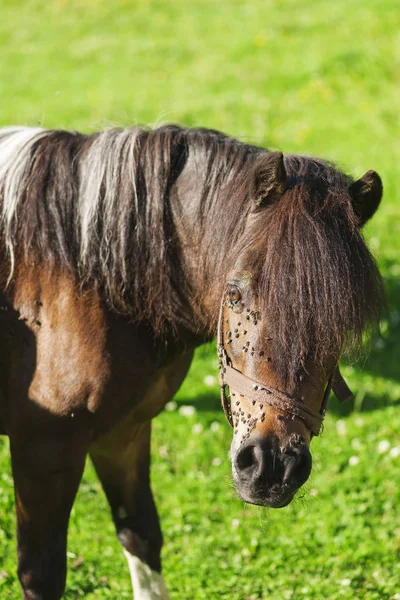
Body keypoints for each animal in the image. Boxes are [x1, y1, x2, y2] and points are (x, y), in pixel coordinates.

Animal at [0, 124, 382, 596]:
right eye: (234, 293)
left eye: (343, 319)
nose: (273, 467)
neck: (86, 279)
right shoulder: (43, 450)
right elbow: (42, 573)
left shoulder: (122, 431)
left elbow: (141, 534)